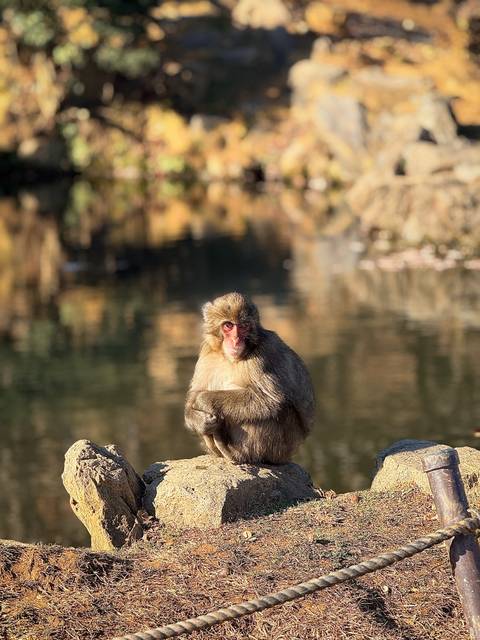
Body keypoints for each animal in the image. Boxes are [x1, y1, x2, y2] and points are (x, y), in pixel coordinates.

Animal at [184, 292, 315, 464]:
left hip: (281, 447)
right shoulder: (207, 352)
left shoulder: (262, 354)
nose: (235, 340)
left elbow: (269, 399)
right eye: (228, 326)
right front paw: (200, 420)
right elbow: (193, 395)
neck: (230, 358)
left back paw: (239, 454)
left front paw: (203, 401)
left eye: (243, 326)